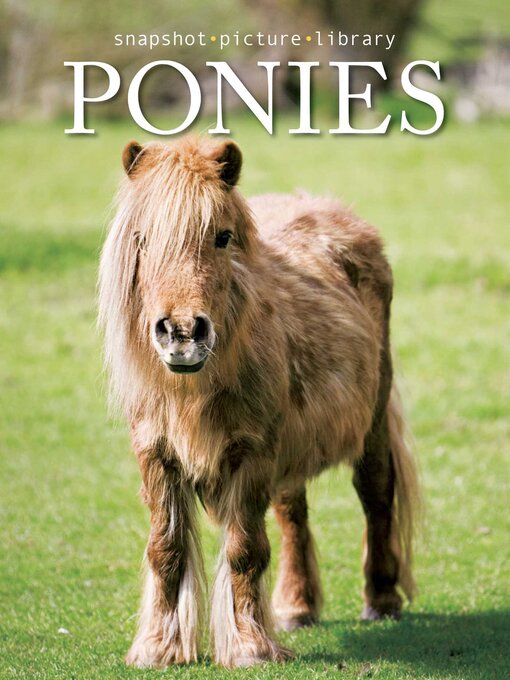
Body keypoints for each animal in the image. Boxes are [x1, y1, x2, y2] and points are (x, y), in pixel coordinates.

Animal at [98, 135, 420, 669]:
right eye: (141, 238)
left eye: (222, 237)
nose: (182, 333)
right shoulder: (157, 455)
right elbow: (165, 549)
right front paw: (158, 647)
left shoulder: (251, 455)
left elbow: (245, 551)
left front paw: (250, 646)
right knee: (293, 512)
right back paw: (296, 606)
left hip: (370, 421)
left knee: (375, 492)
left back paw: (381, 600)